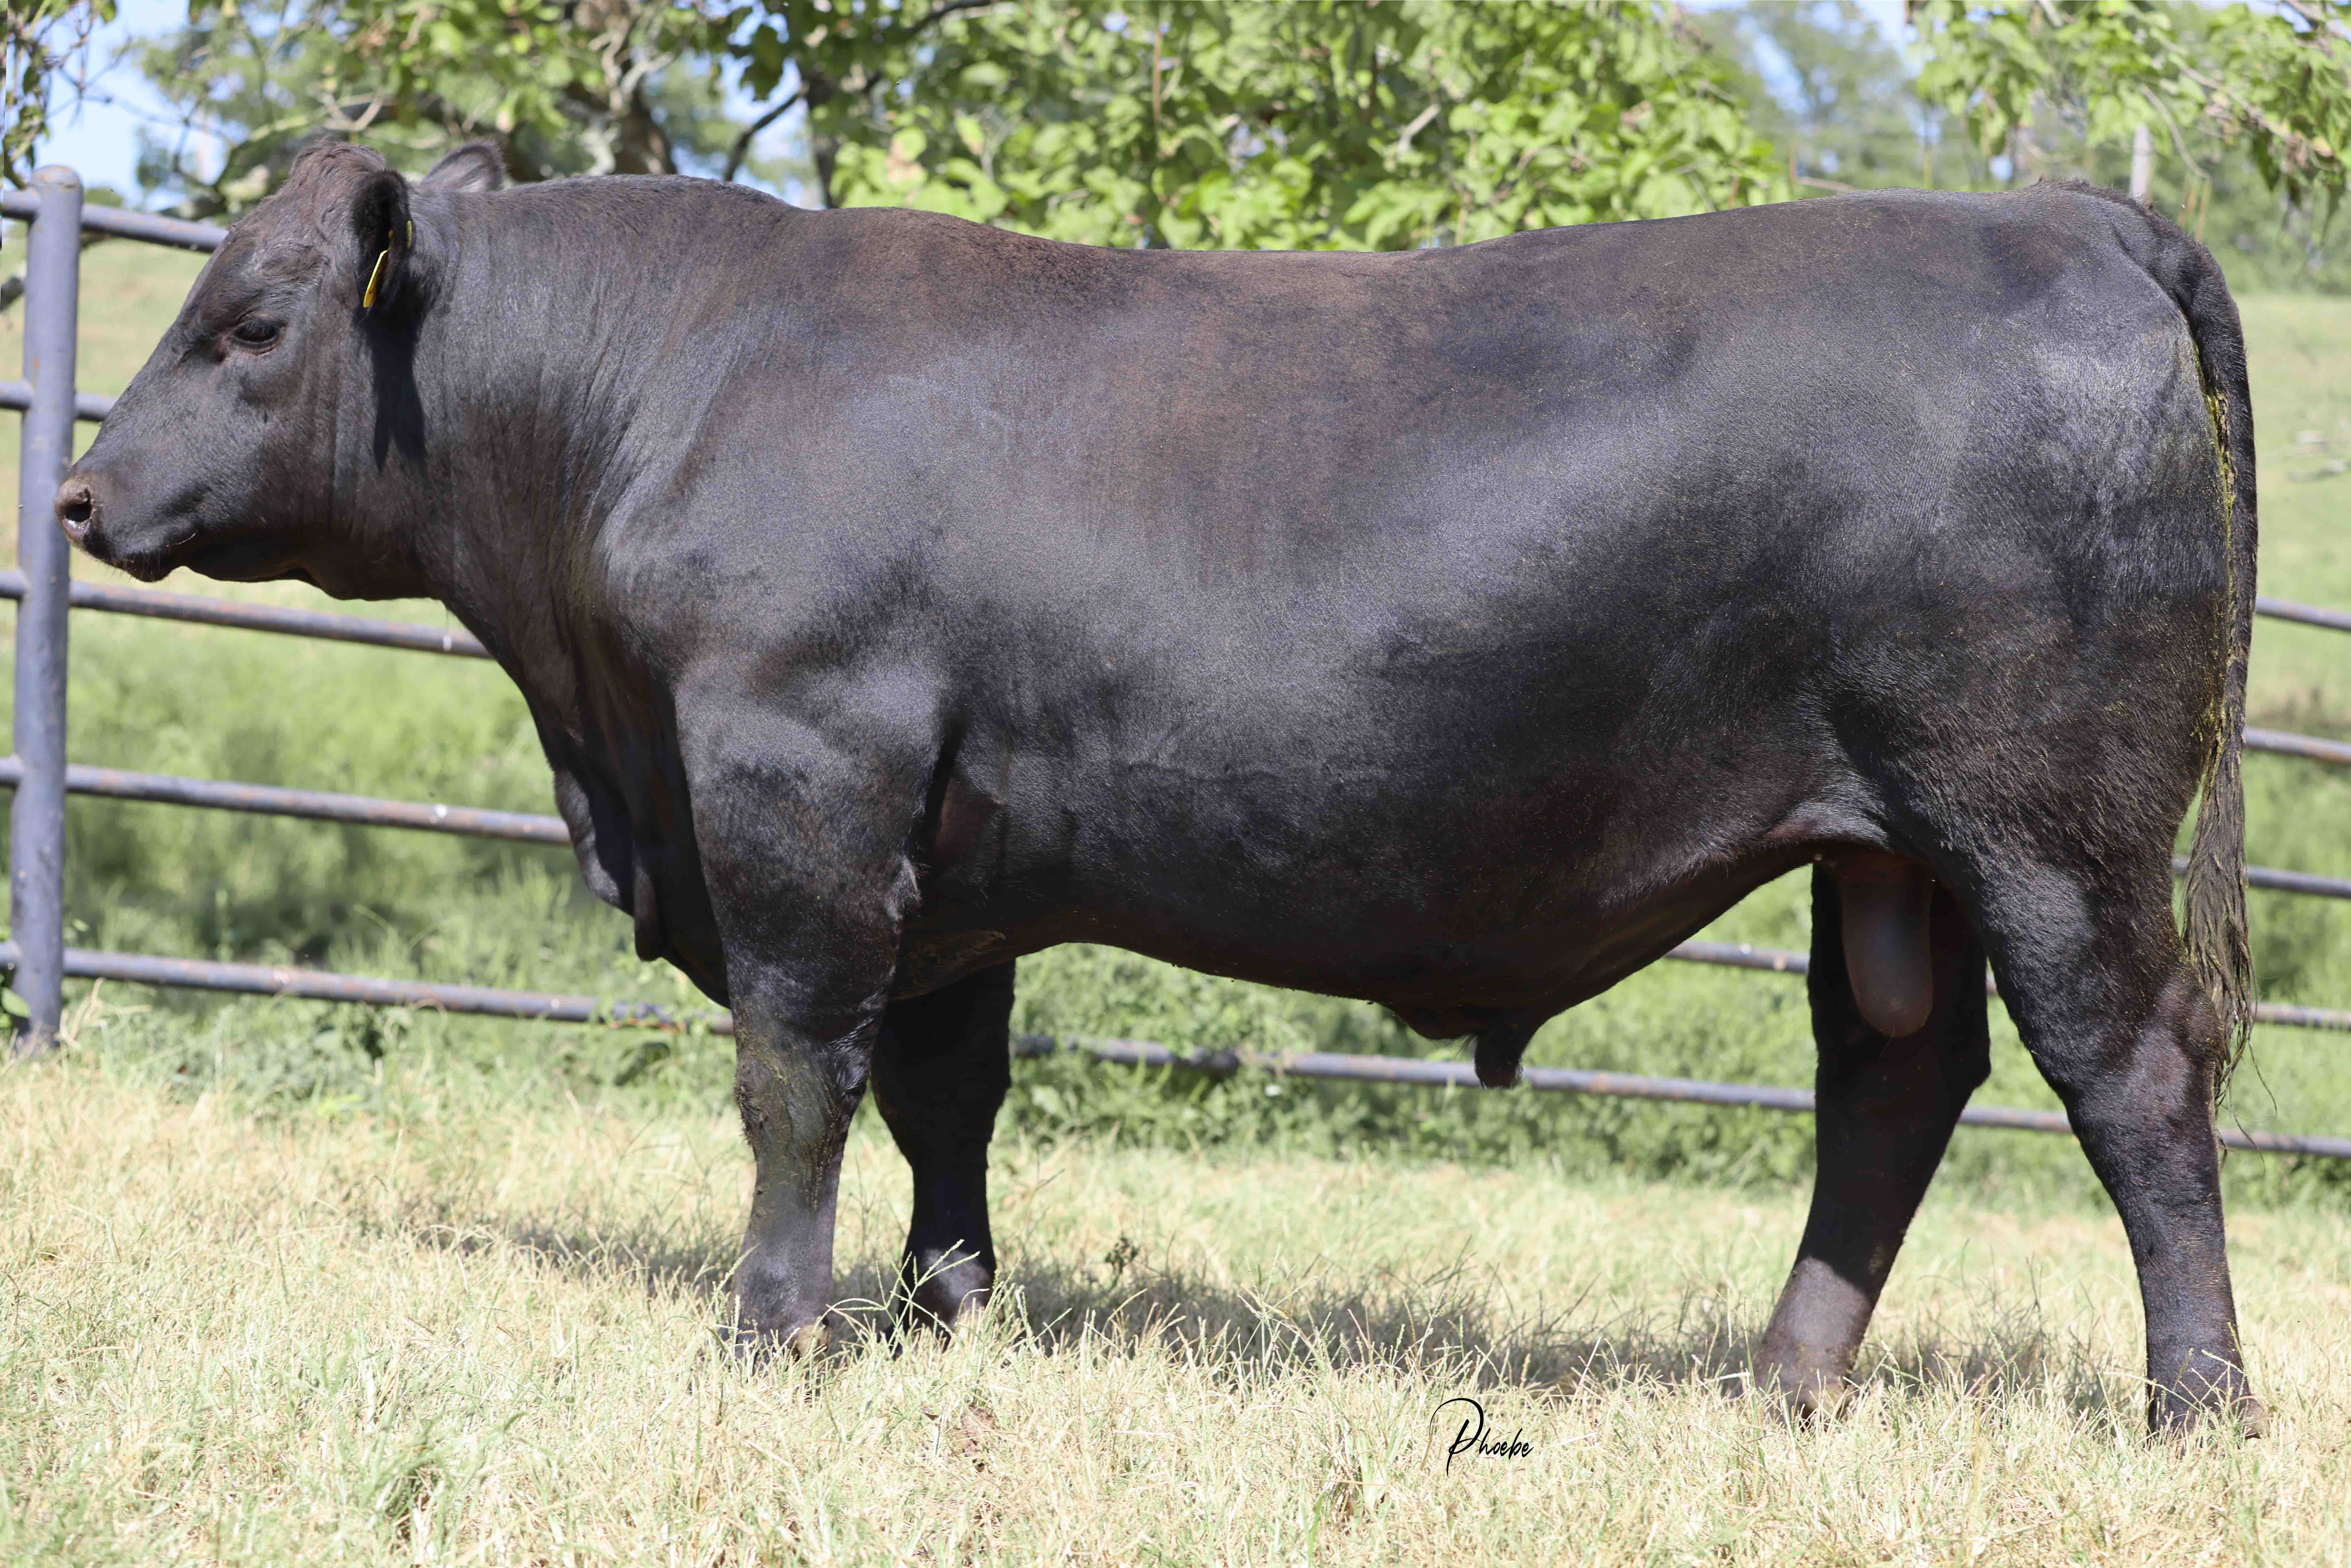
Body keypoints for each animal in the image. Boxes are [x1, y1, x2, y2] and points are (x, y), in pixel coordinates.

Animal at [56, 140, 2260, 1431]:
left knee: (2131, 1081)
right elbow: (943, 1094)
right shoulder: (950, 866)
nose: (77, 493)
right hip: (1884, 850)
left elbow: (795, 1079)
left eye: (249, 323)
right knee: (1892, 1080)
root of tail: (2067, 212)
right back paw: (1783, 1384)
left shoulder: (798, 779)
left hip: (2046, 821)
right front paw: (944, 1315)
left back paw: (2197, 1401)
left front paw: (773, 1334)